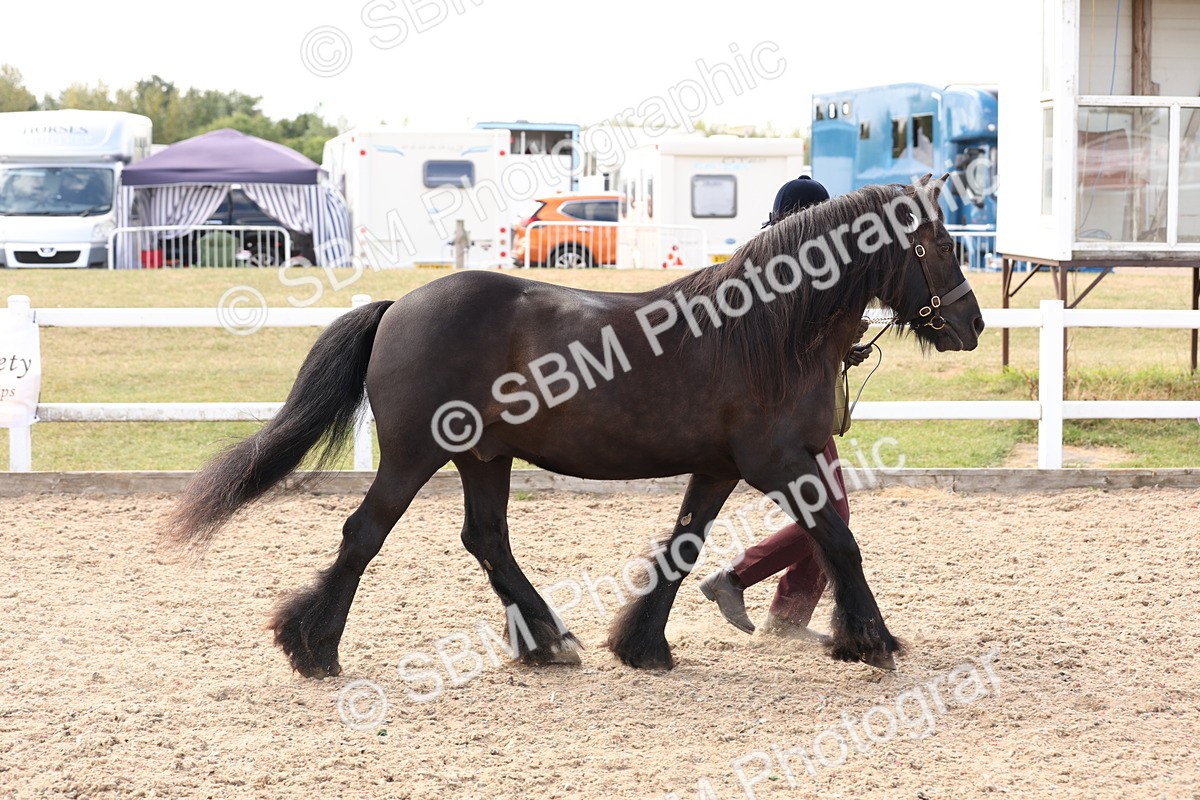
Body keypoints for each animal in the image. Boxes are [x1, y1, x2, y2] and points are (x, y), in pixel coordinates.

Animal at [166, 175, 983, 678]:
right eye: (943, 245)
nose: (972, 324)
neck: (767, 329)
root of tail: (400, 306)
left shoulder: (720, 466)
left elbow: (683, 546)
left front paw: (643, 644)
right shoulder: (778, 461)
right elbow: (838, 539)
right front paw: (872, 641)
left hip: (483, 457)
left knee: (486, 540)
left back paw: (548, 642)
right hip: (413, 456)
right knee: (365, 534)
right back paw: (314, 649)